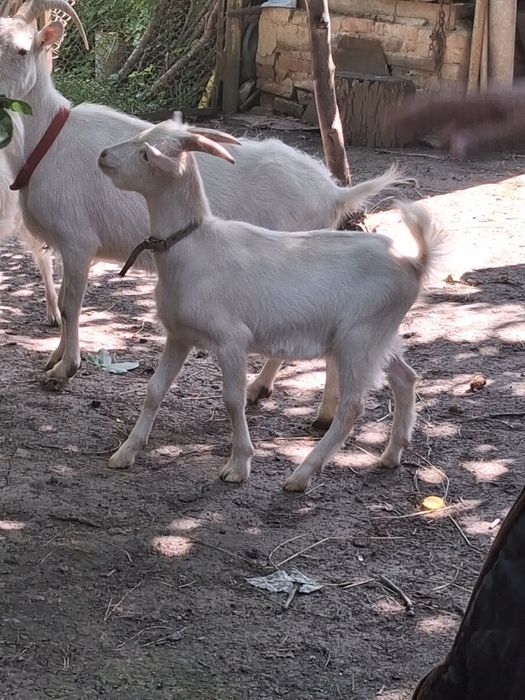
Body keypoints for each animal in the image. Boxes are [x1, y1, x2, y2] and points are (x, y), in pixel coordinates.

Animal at [0, 0, 407, 401]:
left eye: (22, 50)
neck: (47, 141)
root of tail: (332, 191)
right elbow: (63, 302)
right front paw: (53, 359)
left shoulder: (78, 242)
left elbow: (71, 305)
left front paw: (64, 370)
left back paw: (261, 389)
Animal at [98, 120, 446, 491]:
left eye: (146, 154)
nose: (103, 156)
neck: (194, 246)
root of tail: (414, 264)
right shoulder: (179, 335)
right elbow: (154, 389)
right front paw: (126, 451)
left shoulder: (232, 339)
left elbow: (232, 400)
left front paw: (238, 464)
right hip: (380, 336)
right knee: (405, 378)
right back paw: (391, 454)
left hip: (359, 337)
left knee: (353, 406)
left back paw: (302, 474)